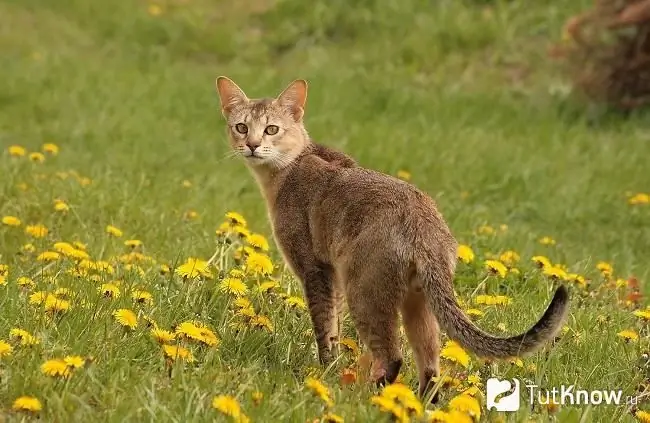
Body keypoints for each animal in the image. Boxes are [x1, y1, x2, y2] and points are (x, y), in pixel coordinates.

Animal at [214, 77, 568, 400]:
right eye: (241, 127)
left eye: (272, 129)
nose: (252, 145)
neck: (290, 168)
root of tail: (424, 224)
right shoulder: (333, 276)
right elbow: (334, 327)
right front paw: (333, 367)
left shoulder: (315, 269)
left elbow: (324, 327)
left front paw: (325, 371)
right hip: (417, 301)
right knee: (430, 365)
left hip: (365, 290)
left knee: (392, 356)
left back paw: (366, 398)